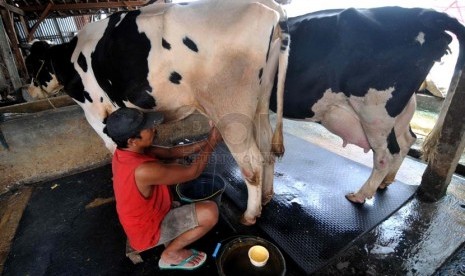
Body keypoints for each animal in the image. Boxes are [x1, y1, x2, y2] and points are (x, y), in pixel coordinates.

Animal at [25, 0, 288, 225]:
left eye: (31, 64)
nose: (27, 91)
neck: (70, 59)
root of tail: (272, 7)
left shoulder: (95, 111)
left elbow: (112, 147)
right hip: (261, 102)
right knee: (266, 148)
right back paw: (267, 197)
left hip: (230, 110)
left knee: (252, 161)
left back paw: (250, 214)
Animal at [270, 6, 465, 204]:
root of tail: (423, 13)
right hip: (397, 111)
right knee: (407, 139)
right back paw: (385, 182)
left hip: (374, 113)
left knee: (386, 154)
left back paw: (360, 195)